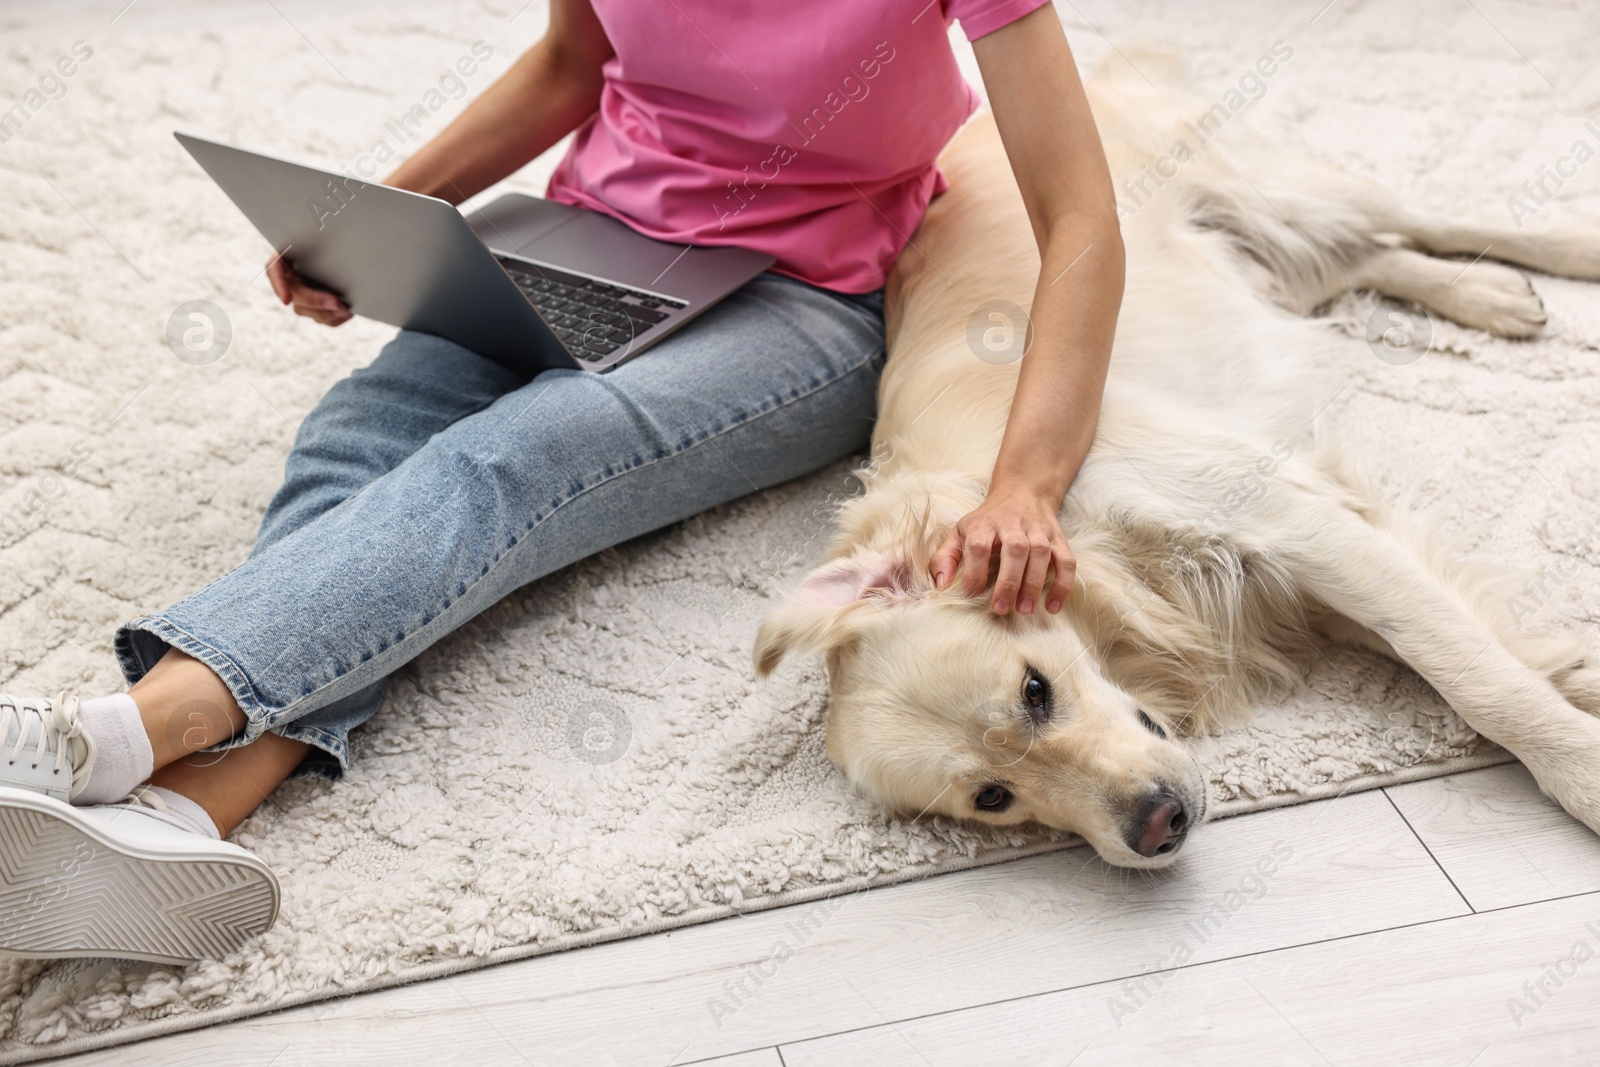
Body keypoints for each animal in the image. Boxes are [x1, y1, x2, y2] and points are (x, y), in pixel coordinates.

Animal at [748, 58, 1600, 870]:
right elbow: (1444, 636)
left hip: (1278, 188)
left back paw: (1562, 254)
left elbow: (1475, 678)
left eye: (1034, 690)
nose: (1158, 825)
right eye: (993, 796)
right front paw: (1572, 672)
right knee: (1368, 260)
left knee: (1421, 218)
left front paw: (1582, 768)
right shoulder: (1289, 574)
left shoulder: (1287, 519)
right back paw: (1488, 294)